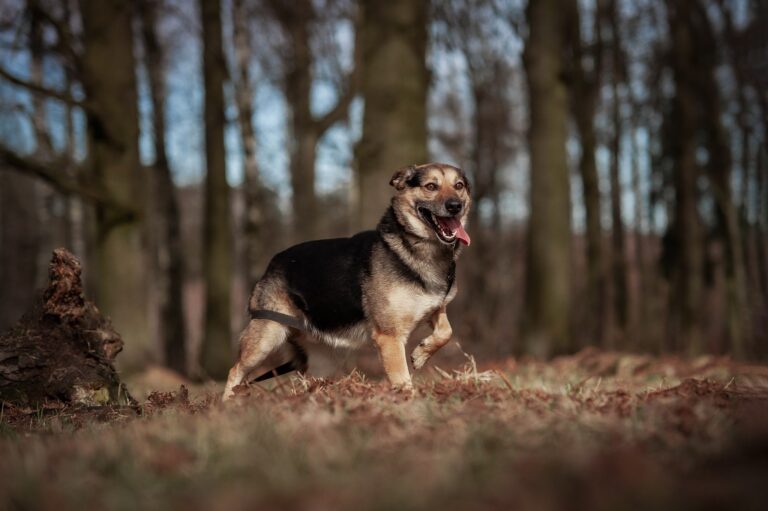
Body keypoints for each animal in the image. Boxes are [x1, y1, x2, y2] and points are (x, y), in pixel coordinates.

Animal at [222, 163, 472, 400]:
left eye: (459, 186)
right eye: (431, 186)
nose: (455, 206)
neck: (415, 246)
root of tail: (273, 263)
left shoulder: (435, 308)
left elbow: (446, 332)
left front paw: (421, 354)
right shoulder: (389, 338)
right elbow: (402, 379)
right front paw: (408, 403)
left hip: (323, 360)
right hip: (267, 335)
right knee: (235, 371)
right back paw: (228, 403)